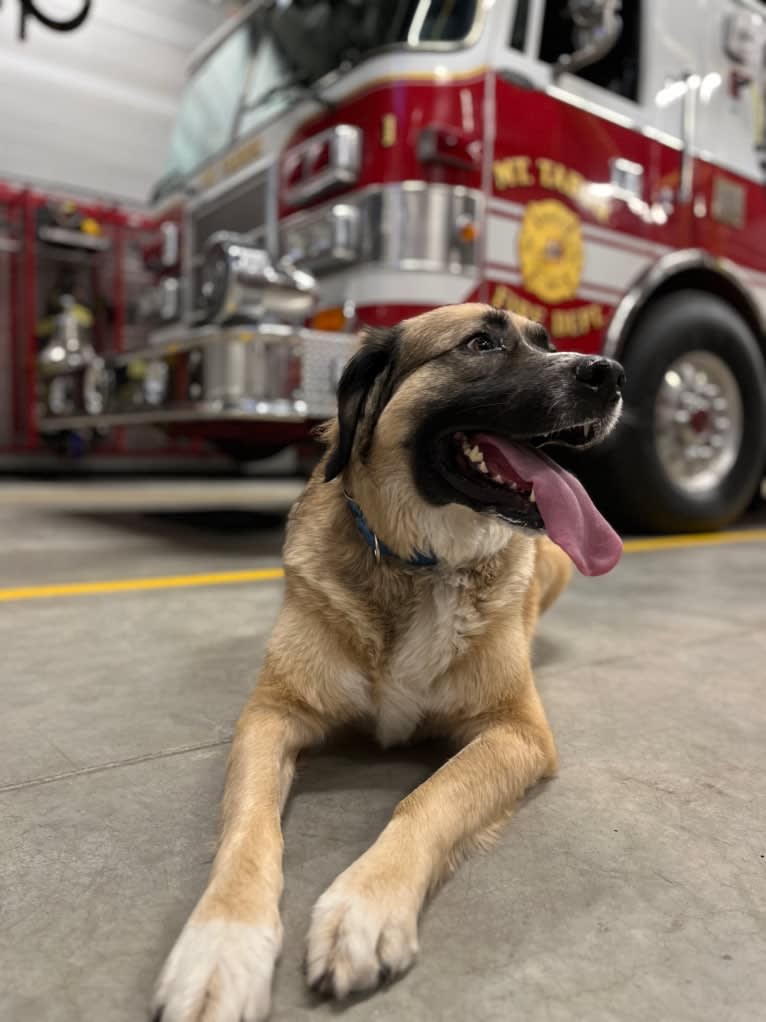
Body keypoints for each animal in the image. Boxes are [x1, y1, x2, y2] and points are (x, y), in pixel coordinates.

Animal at [153, 302, 625, 1021]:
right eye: (480, 343)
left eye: (546, 341)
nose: (612, 373)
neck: (420, 565)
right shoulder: (270, 716)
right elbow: (248, 829)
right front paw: (219, 945)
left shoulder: (517, 732)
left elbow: (430, 796)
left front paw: (364, 906)